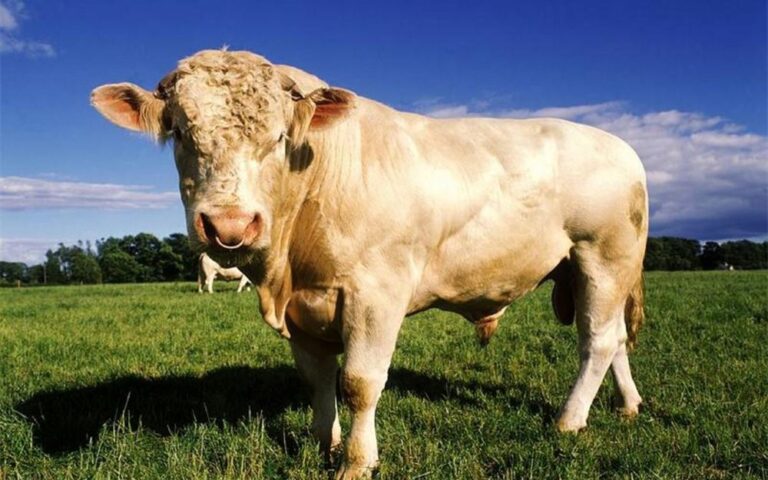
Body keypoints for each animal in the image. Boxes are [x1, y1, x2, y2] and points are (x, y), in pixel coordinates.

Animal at [91, 50, 648, 479]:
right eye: (180, 132)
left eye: (278, 138)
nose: (229, 225)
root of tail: (620, 147)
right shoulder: (304, 310)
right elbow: (318, 379)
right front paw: (325, 444)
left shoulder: (376, 293)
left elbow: (359, 381)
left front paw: (357, 462)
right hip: (591, 272)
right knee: (614, 337)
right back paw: (628, 405)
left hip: (603, 256)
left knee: (597, 342)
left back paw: (569, 420)